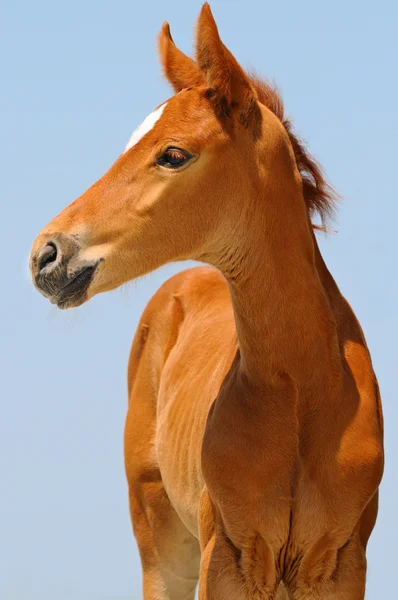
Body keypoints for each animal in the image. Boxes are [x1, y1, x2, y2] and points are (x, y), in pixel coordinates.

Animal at [29, 4, 384, 600]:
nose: (45, 255)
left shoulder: (339, 565)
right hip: (163, 547)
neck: (302, 391)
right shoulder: (227, 560)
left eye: (173, 154)